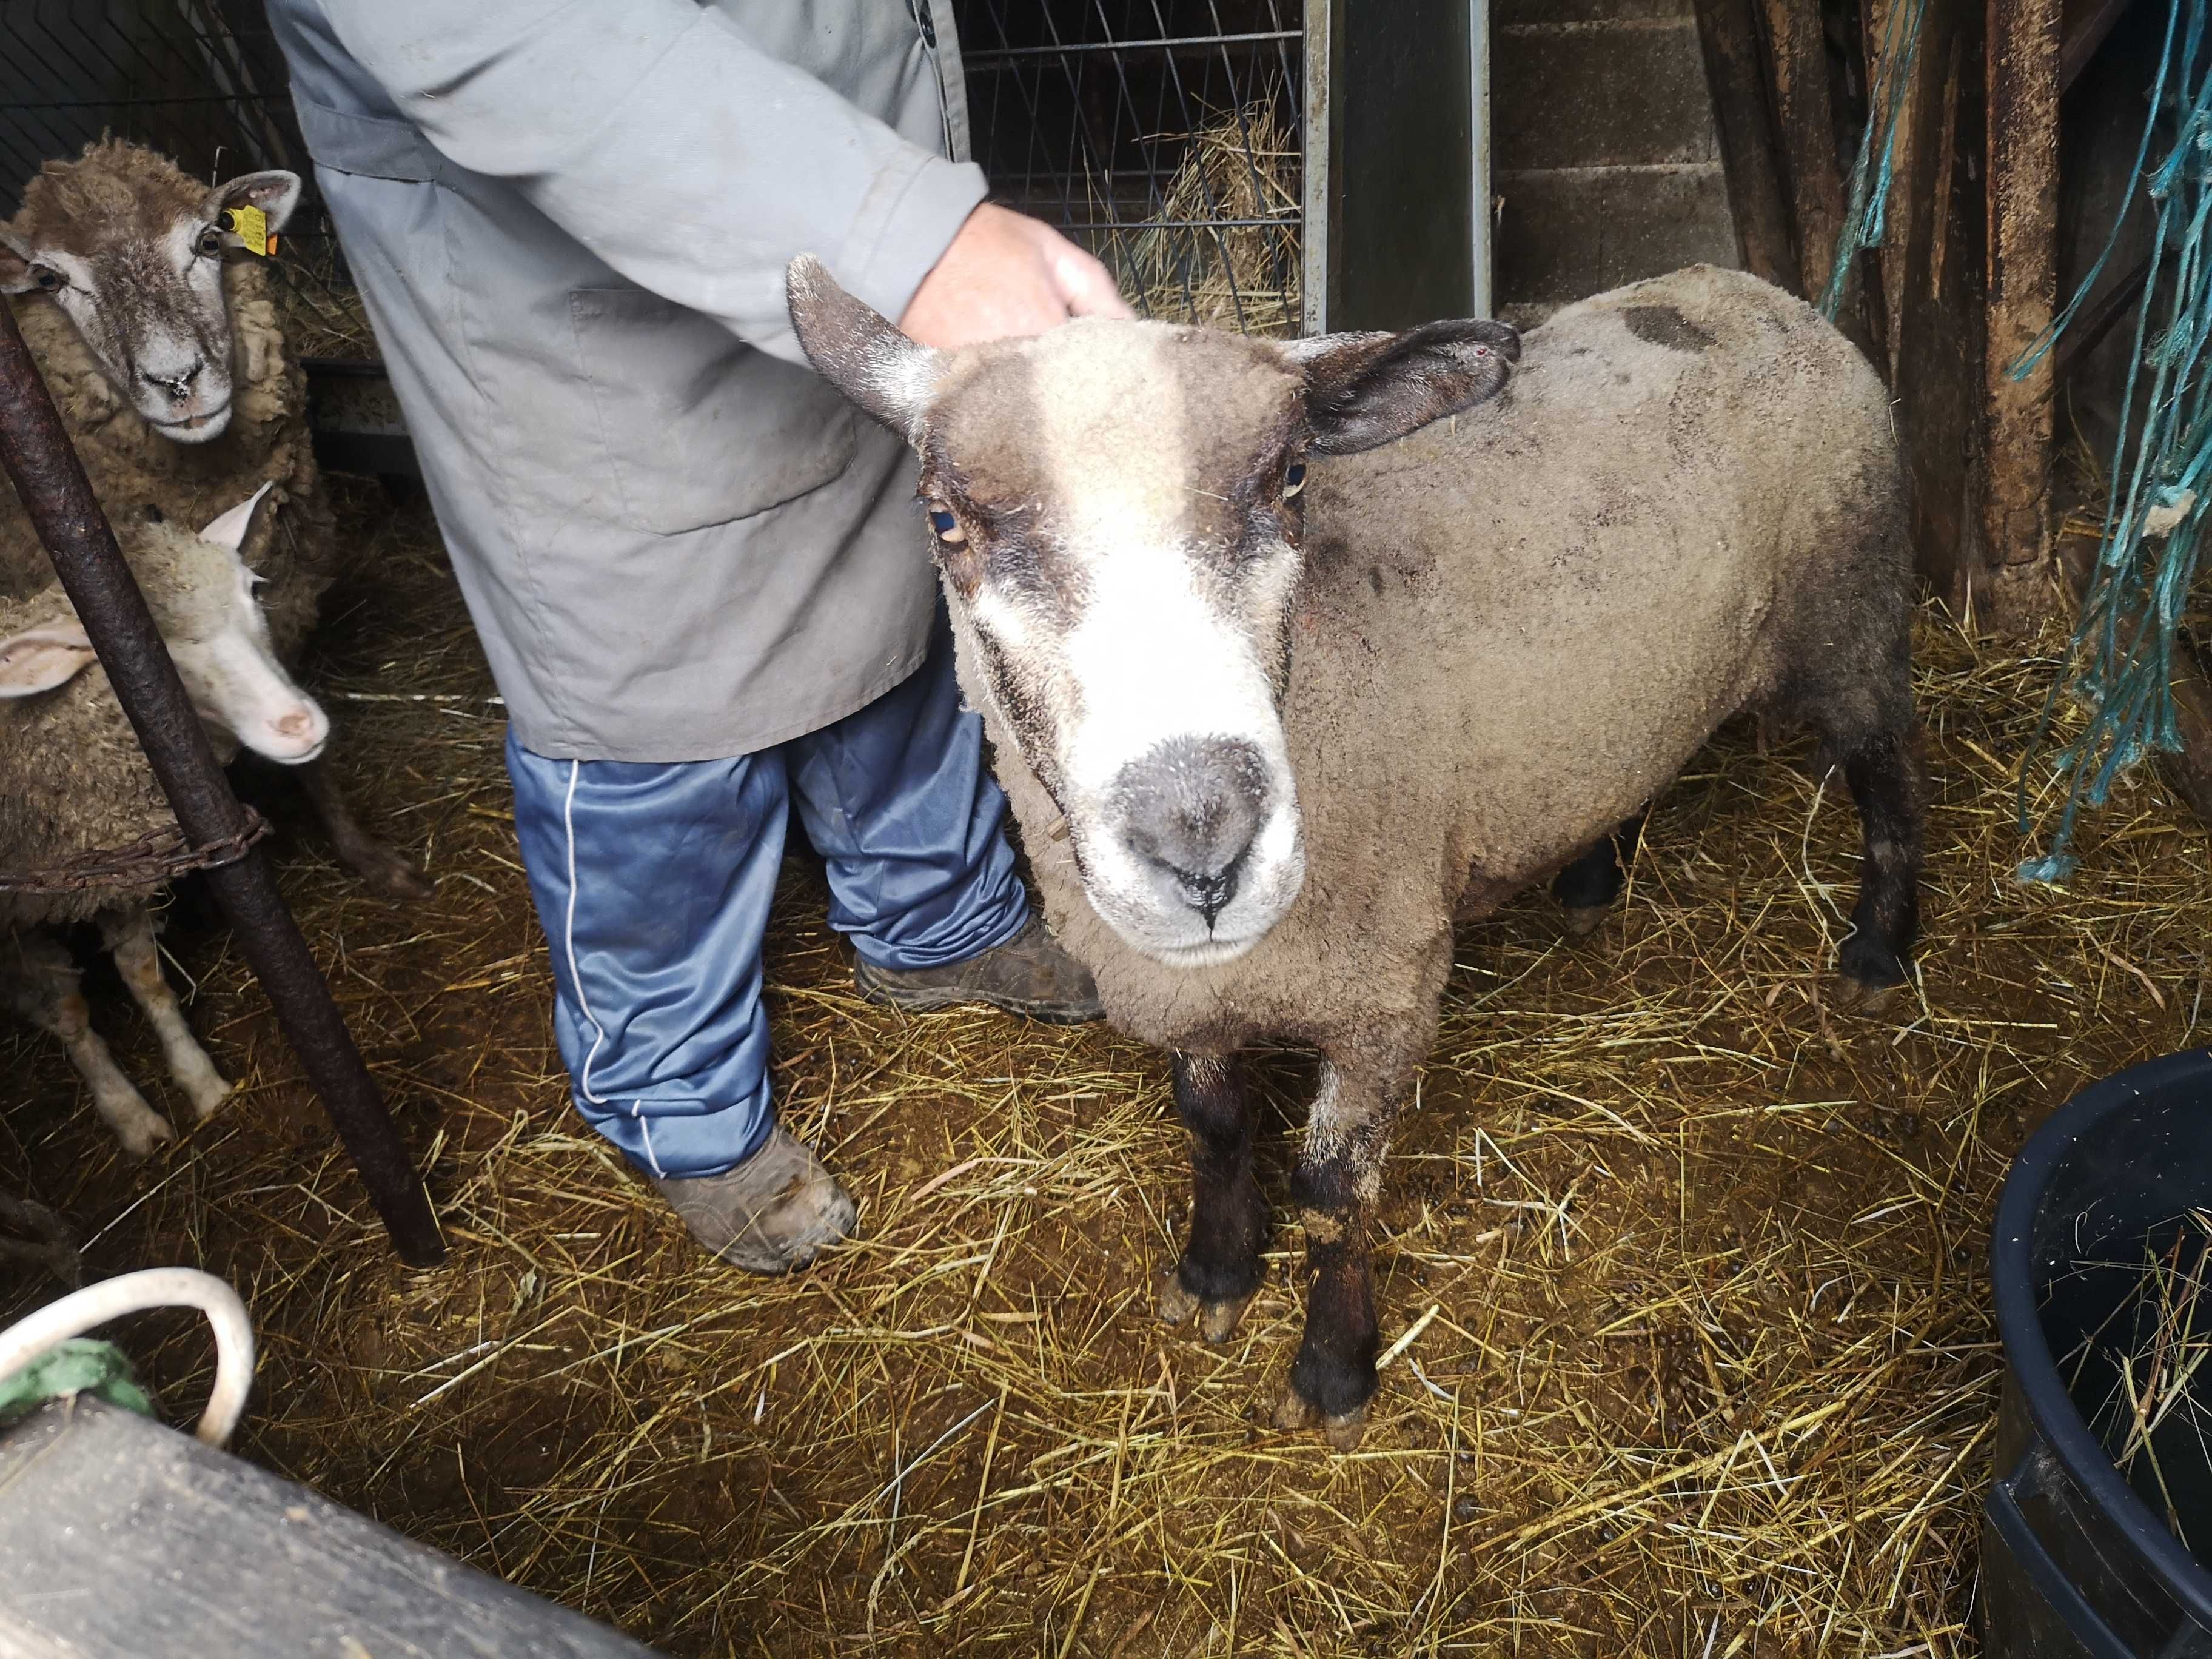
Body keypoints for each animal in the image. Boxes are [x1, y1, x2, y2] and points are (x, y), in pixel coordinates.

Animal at [0, 484, 329, 1159]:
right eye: (139, 653)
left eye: (255, 589)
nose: (300, 725)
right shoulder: (18, 919)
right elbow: (69, 1013)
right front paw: (128, 1113)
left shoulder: (115, 867)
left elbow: (146, 976)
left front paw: (200, 1081)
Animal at [791, 260, 1920, 1451]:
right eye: (944, 519)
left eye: (1294, 477)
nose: (1202, 845)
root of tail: (1747, 288)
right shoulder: (1196, 993)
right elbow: (1213, 1127)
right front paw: (1214, 1273)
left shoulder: (1384, 994)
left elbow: (1334, 1195)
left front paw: (1334, 1371)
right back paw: (1587, 876)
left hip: (1852, 611)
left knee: (1891, 769)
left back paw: (1879, 948)